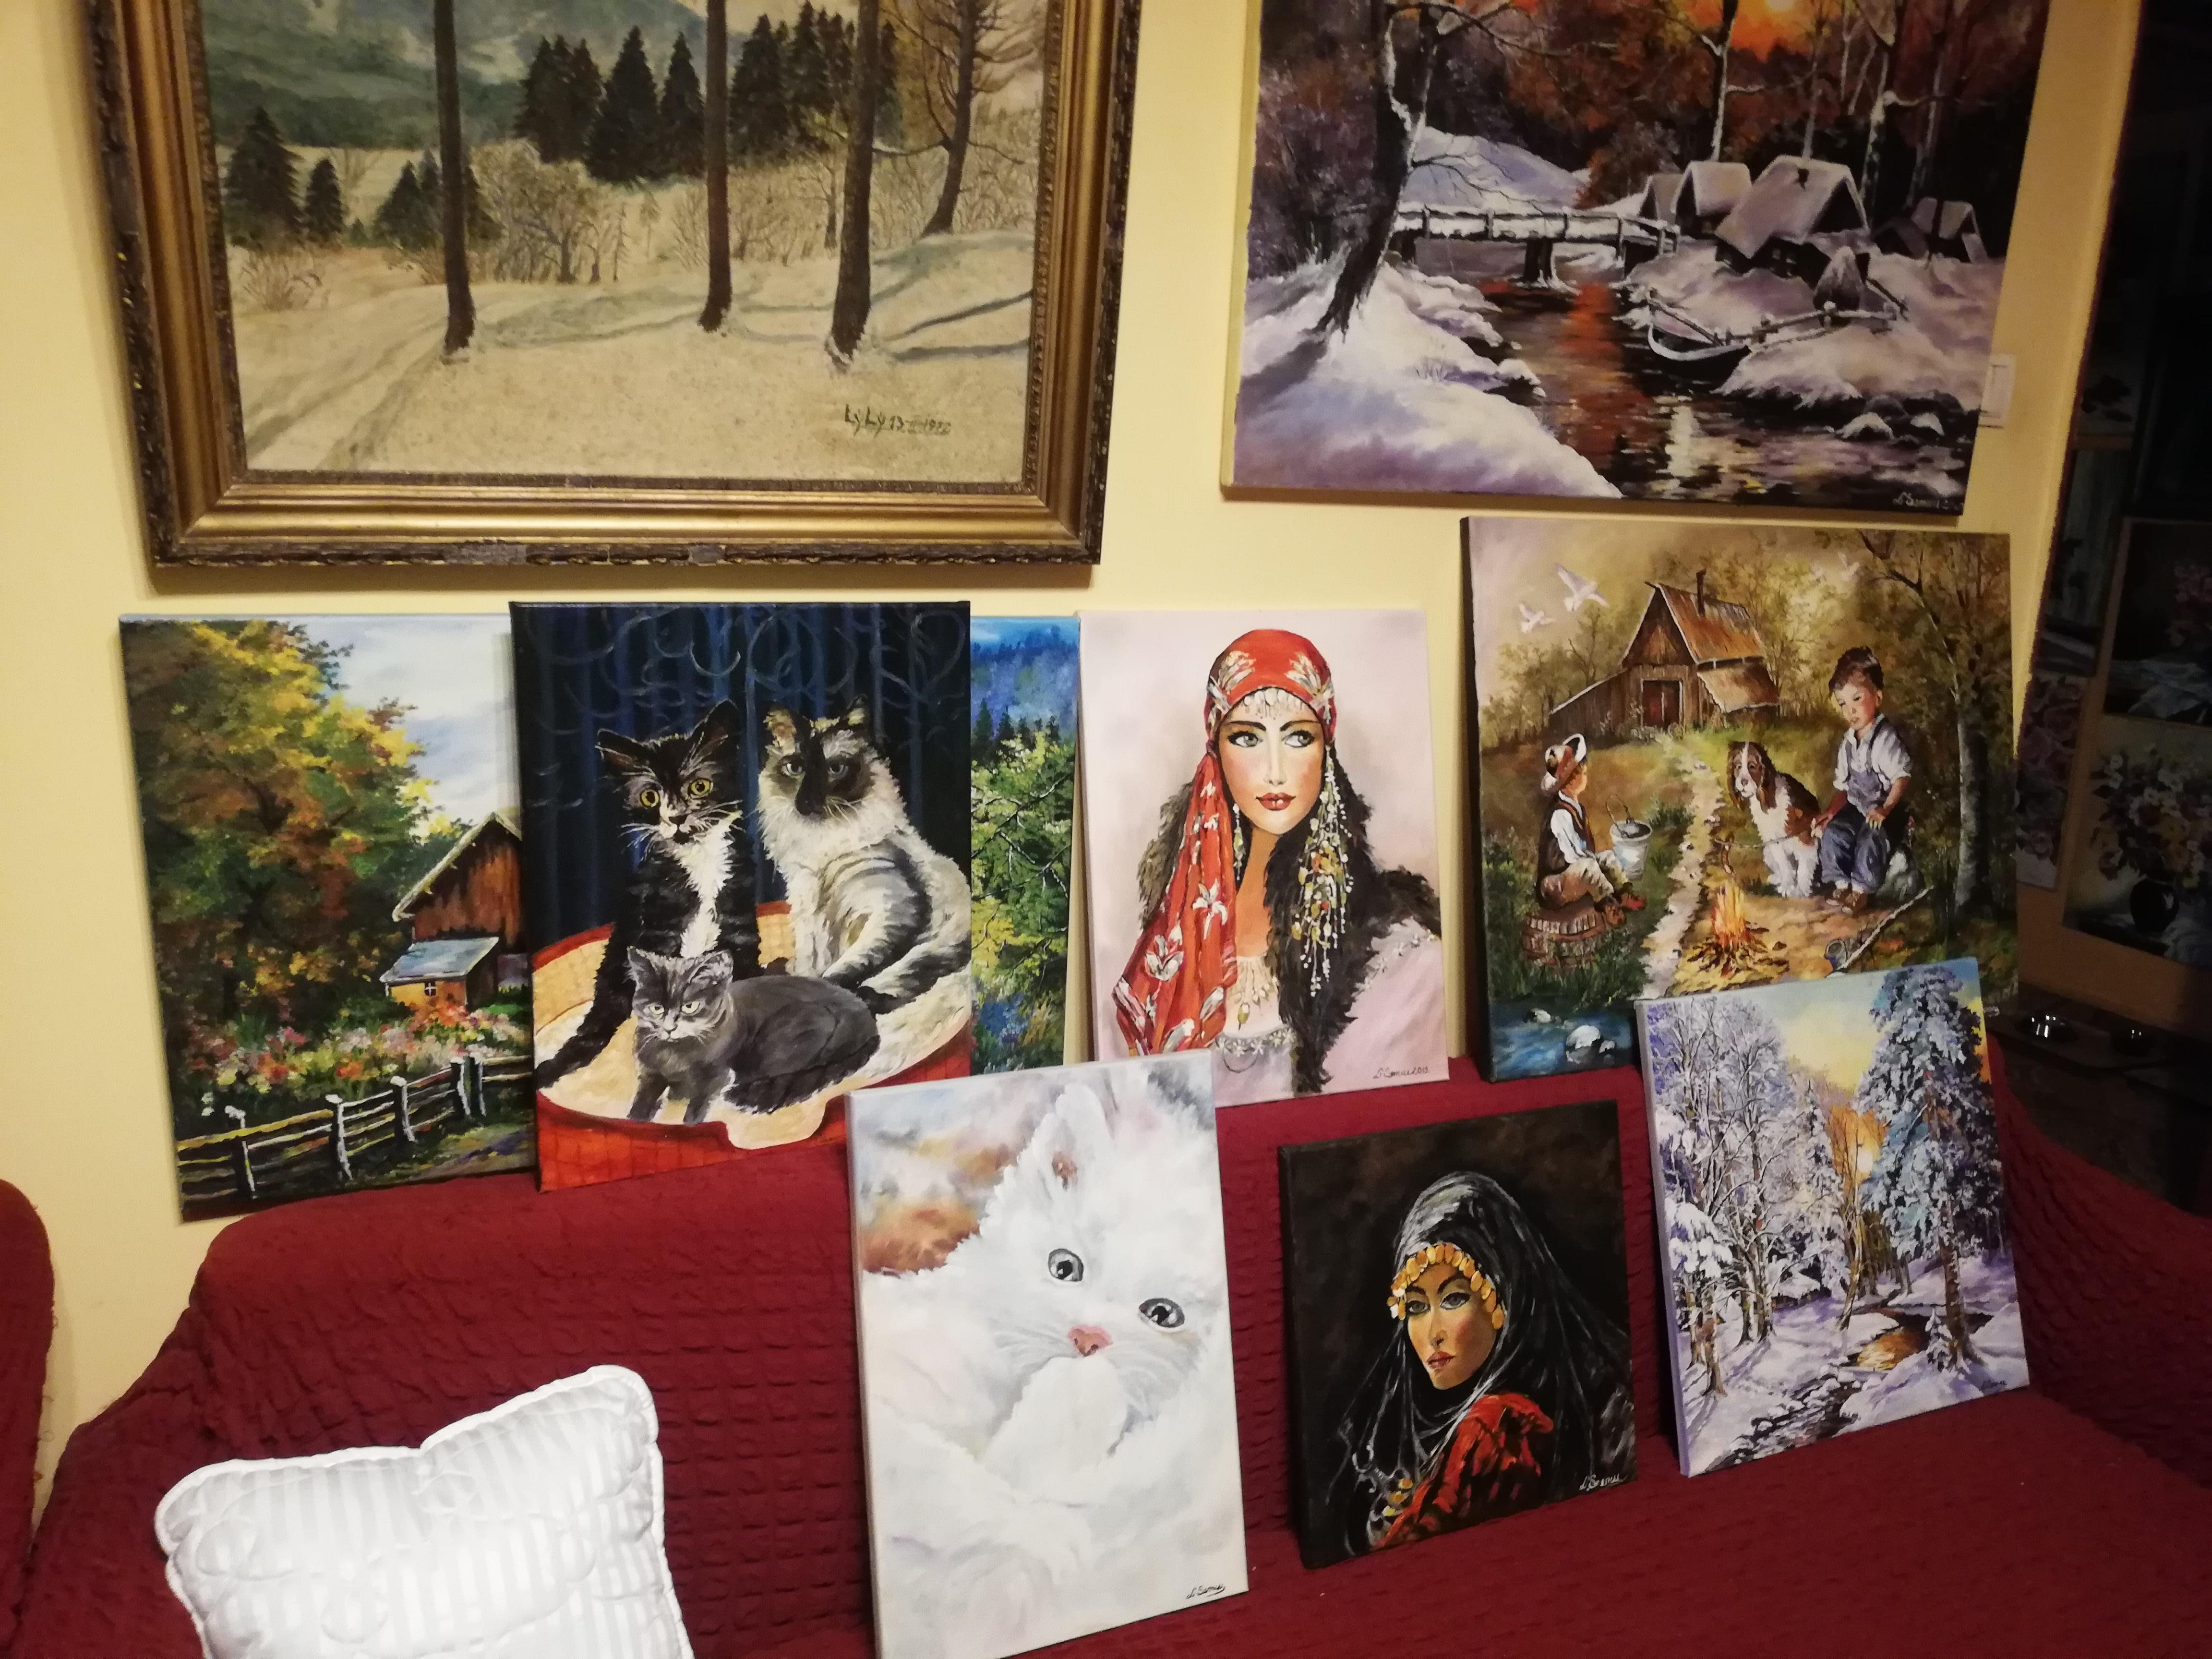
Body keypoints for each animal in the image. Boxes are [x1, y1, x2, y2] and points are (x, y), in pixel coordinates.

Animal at [536, 701, 760, 1091]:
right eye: (650, 797)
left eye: (699, 786)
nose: (677, 817)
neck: (700, 860)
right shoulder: (657, 926)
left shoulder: (739, 922)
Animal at [625, 948, 879, 1124]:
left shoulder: (716, 1075)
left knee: (787, 1076)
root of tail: (867, 1020)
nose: (670, 1027)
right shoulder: (650, 1073)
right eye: (657, 1008)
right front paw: (638, 1118)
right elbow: (642, 1101)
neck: (675, 1055)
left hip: (783, 1038)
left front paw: (689, 1120)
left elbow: (696, 1109)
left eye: (690, 1007)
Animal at [754, 702, 970, 1018]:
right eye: (795, 768)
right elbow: (809, 965)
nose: (807, 802)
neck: (824, 845)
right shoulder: (808, 919)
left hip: (936, 944)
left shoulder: (888, 910)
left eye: (836, 769)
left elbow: (841, 971)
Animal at [1728, 740, 1821, 899]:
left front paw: (1800, 891)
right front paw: (1787, 886)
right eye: (1738, 767)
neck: (1766, 797)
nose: (1743, 782)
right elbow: (1783, 864)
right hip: (1767, 851)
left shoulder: (1804, 835)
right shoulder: (1773, 839)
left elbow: (1803, 866)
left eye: (1752, 766)